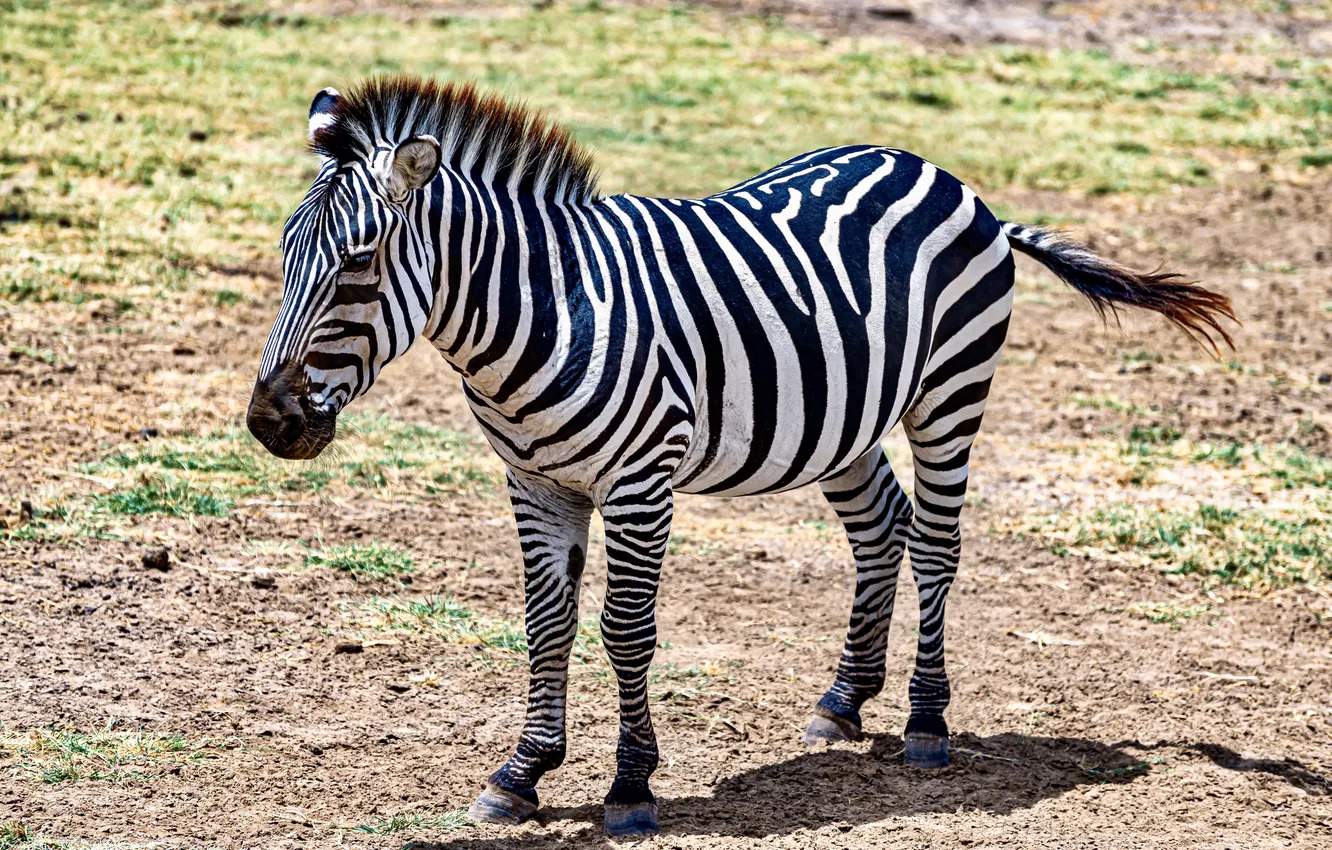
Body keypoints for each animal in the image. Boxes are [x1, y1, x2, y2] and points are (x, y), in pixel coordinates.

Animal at [247, 76, 1234, 837]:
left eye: (360, 263)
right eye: (286, 253)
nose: (267, 423)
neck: (549, 309)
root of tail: (942, 173)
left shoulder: (641, 481)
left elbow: (625, 630)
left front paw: (630, 787)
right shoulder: (536, 482)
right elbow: (545, 625)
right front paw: (521, 774)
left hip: (950, 394)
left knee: (937, 546)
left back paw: (925, 721)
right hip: (843, 420)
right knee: (882, 530)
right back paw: (843, 703)